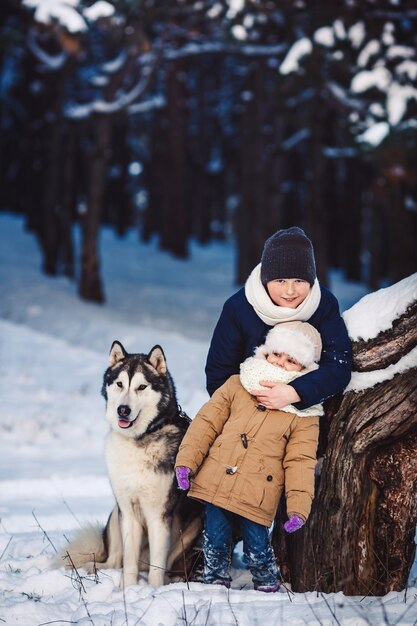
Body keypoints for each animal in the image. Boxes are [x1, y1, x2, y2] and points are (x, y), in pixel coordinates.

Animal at [57, 338, 202, 588]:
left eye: (141, 387)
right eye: (119, 384)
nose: (122, 409)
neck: (139, 440)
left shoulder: (159, 515)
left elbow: (157, 565)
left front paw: (153, 591)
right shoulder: (128, 511)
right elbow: (129, 561)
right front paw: (127, 589)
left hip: (193, 527)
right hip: (116, 514)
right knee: (115, 560)